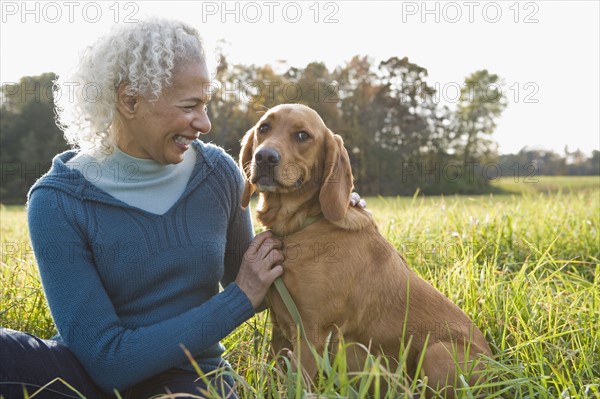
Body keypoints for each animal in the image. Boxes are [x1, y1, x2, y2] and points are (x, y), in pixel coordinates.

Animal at [239, 103, 492, 396]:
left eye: (302, 135)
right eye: (264, 128)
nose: (265, 156)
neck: (297, 229)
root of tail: (497, 369)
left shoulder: (310, 335)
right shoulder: (280, 332)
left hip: (437, 352)